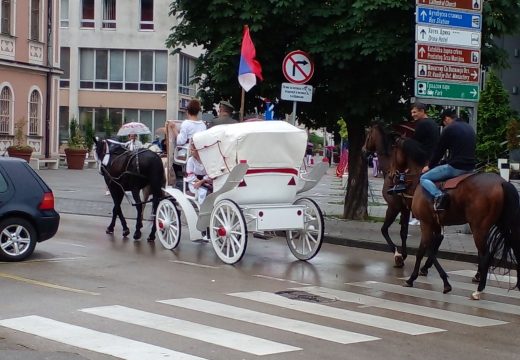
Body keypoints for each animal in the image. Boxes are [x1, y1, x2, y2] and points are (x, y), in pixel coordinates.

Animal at [362, 122, 410, 266]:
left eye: (368, 135)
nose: (363, 151)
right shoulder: (405, 209)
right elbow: (403, 231)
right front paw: (403, 254)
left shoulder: (393, 207)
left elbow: (384, 229)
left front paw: (398, 255)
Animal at [394, 142, 520, 300]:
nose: (393, 176)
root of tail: (502, 183)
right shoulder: (435, 224)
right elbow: (429, 249)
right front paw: (421, 276)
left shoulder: (426, 223)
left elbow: (423, 250)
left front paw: (417, 278)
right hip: (502, 225)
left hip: (479, 227)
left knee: (485, 255)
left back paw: (479, 290)